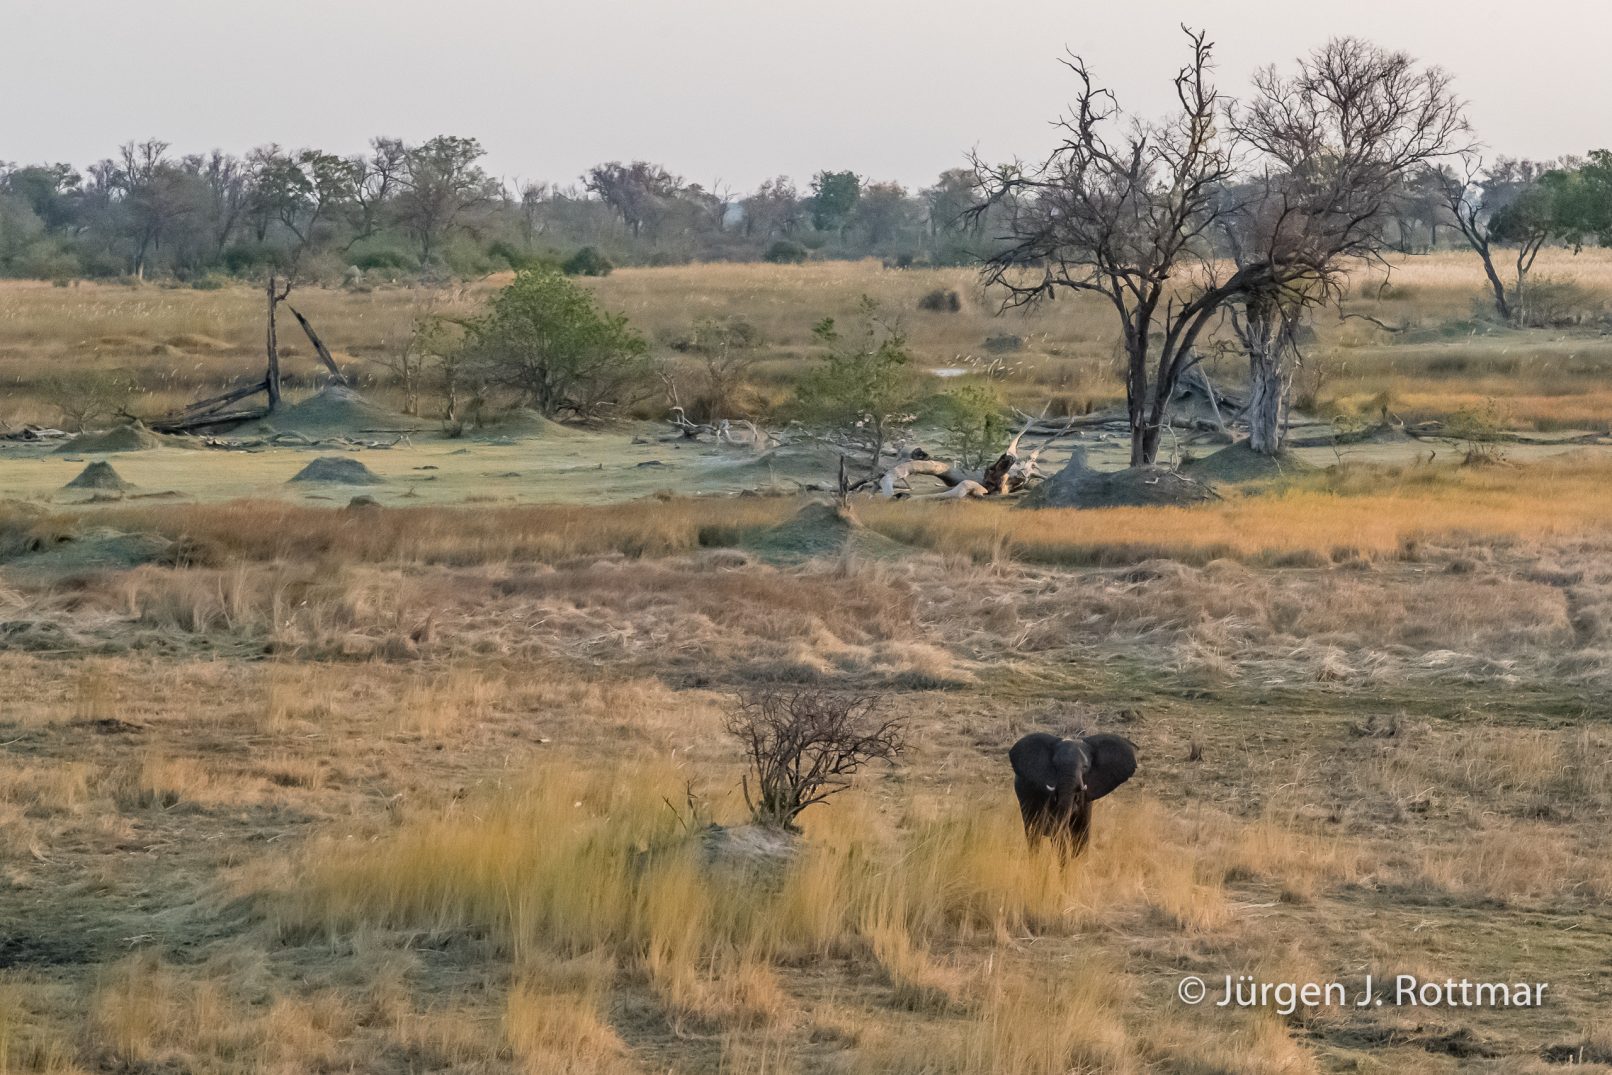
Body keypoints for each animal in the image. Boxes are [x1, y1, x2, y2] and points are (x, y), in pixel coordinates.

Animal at [1008, 732, 1137, 858]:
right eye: (1055, 765)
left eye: (1085, 767)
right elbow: (1059, 833)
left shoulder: (1086, 799)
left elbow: (1082, 833)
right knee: (1033, 834)